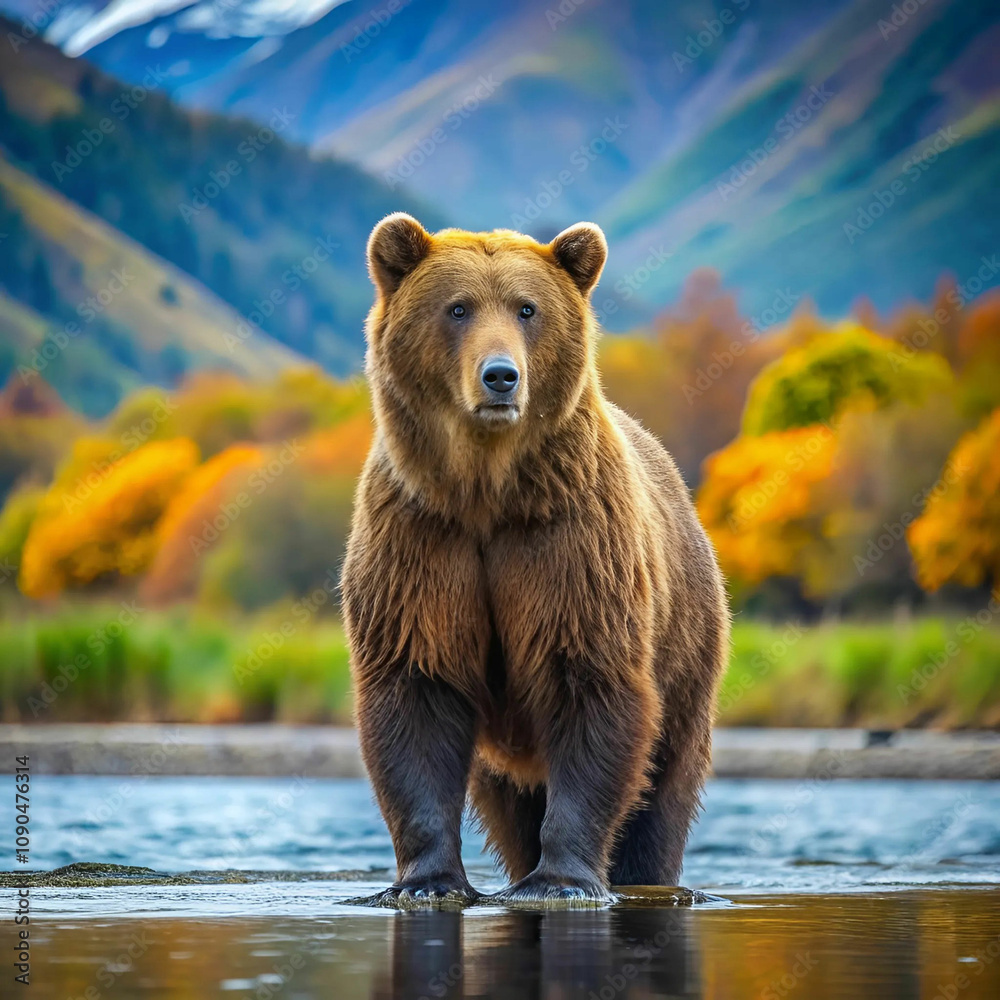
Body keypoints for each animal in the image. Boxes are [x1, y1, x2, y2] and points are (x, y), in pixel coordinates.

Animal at [341, 213, 730, 905]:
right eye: (458, 307)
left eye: (528, 308)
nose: (501, 375)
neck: (487, 494)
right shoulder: (422, 543)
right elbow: (416, 697)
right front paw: (427, 883)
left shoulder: (568, 545)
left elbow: (590, 687)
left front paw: (562, 881)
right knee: (508, 803)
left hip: (688, 652)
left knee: (664, 786)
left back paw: (645, 873)